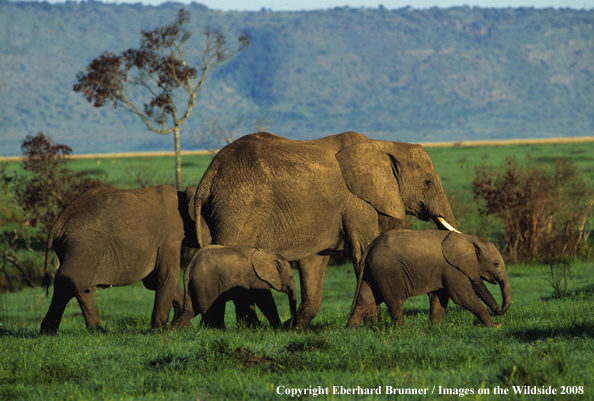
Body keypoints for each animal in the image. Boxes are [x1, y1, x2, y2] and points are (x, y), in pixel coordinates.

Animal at [195, 130, 458, 326]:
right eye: (427, 182)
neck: (382, 145)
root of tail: (208, 176)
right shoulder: (357, 201)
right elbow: (363, 251)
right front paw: (375, 325)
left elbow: (315, 261)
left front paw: (294, 328)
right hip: (239, 207)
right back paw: (238, 328)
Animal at [346, 230, 508, 326]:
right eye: (496, 264)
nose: (499, 309)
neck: (468, 238)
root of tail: (368, 249)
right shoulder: (452, 268)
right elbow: (463, 297)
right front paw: (495, 327)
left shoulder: (442, 270)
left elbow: (440, 297)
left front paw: (435, 326)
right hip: (387, 271)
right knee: (395, 301)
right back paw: (401, 330)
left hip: (373, 272)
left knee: (366, 300)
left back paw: (351, 329)